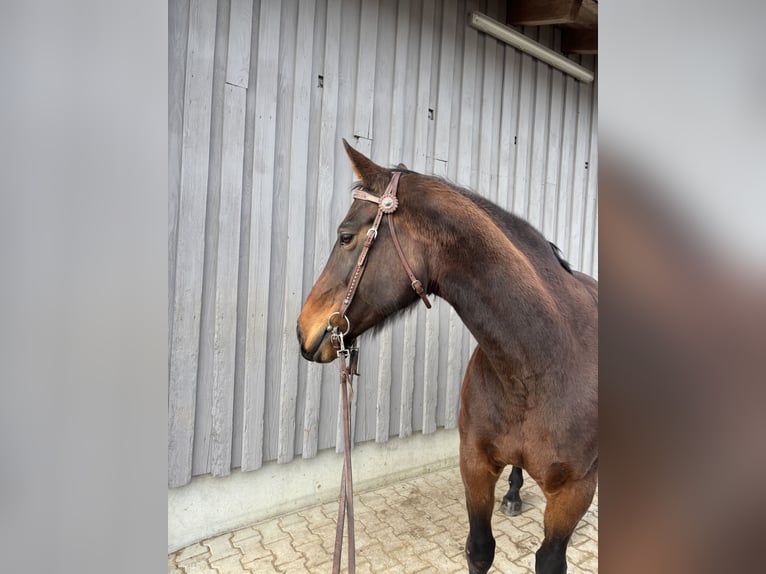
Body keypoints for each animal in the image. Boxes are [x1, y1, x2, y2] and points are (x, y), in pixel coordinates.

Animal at [297, 140, 598, 574]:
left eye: (345, 236)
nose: (303, 329)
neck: (541, 362)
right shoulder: (474, 465)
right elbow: (480, 549)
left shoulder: (573, 494)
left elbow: (549, 560)